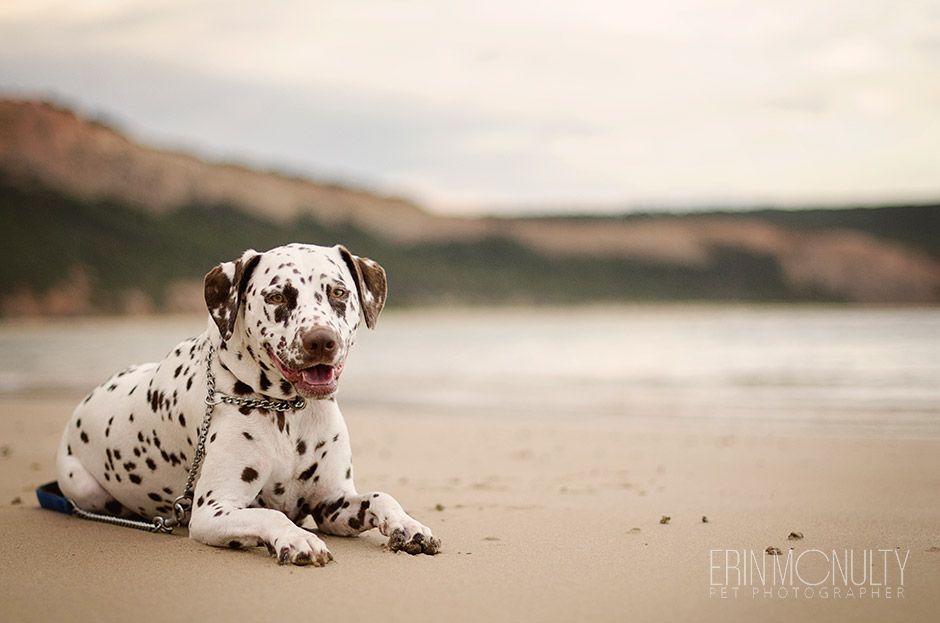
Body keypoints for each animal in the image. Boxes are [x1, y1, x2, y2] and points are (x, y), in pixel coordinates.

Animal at [55, 244, 440, 564]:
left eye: (338, 292)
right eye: (277, 296)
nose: (321, 340)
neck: (288, 413)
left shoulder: (332, 504)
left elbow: (380, 496)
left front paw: (408, 525)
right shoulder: (213, 511)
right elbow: (271, 513)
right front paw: (297, 539)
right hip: (82, 486)